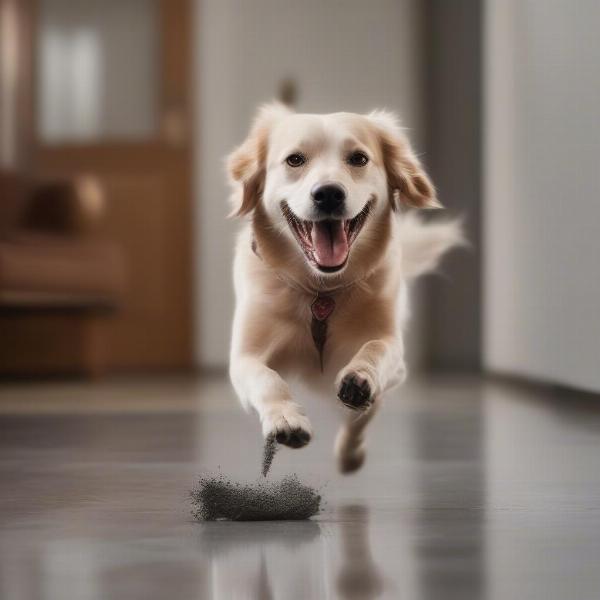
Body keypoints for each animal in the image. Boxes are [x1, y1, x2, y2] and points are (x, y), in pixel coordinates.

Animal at [227, 103, 462, 474]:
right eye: (295, 159)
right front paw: (285, 419)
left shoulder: (393, 355)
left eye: (358, 158)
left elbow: (375, 352)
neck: (321, 290)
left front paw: (359, 380)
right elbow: (267, 378)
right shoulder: (244, 357)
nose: (328, 194)